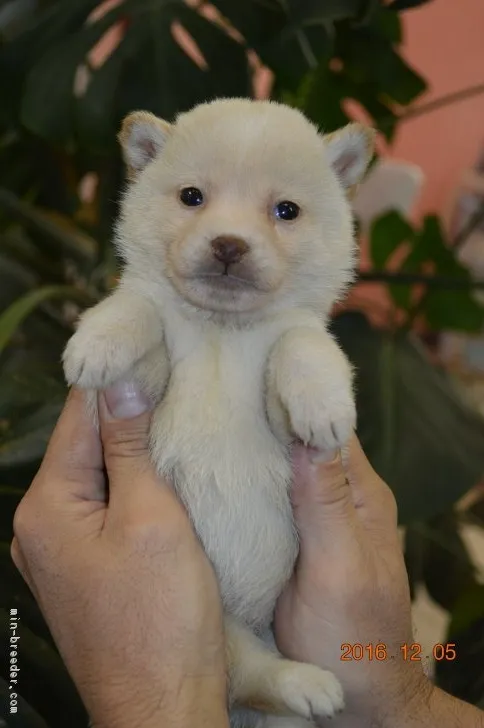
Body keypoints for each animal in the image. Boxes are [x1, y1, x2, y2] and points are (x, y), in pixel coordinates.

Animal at [63, 98, 374, 728]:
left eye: (286, 210)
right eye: (191, 197)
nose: (229, 244)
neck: (222, 332)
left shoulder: (284, 385)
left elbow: (301, 345)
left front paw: (324, 403)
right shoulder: (151, 375)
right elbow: (136, 306)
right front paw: (97, 342)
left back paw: (310, 686)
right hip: (217, 626)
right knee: (247, 673)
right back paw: (302, 684)